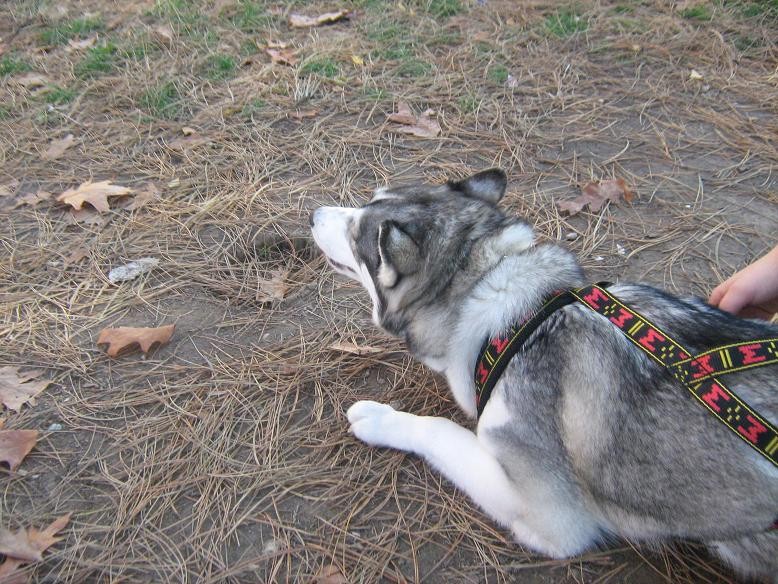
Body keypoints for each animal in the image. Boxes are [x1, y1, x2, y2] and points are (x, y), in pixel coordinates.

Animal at [310, 168, 776, 580]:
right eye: (367, 200)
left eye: (355, 232)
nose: (313, 213)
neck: (515, 316)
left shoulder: (550, 516)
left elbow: (440, 428)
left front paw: (381, 418)